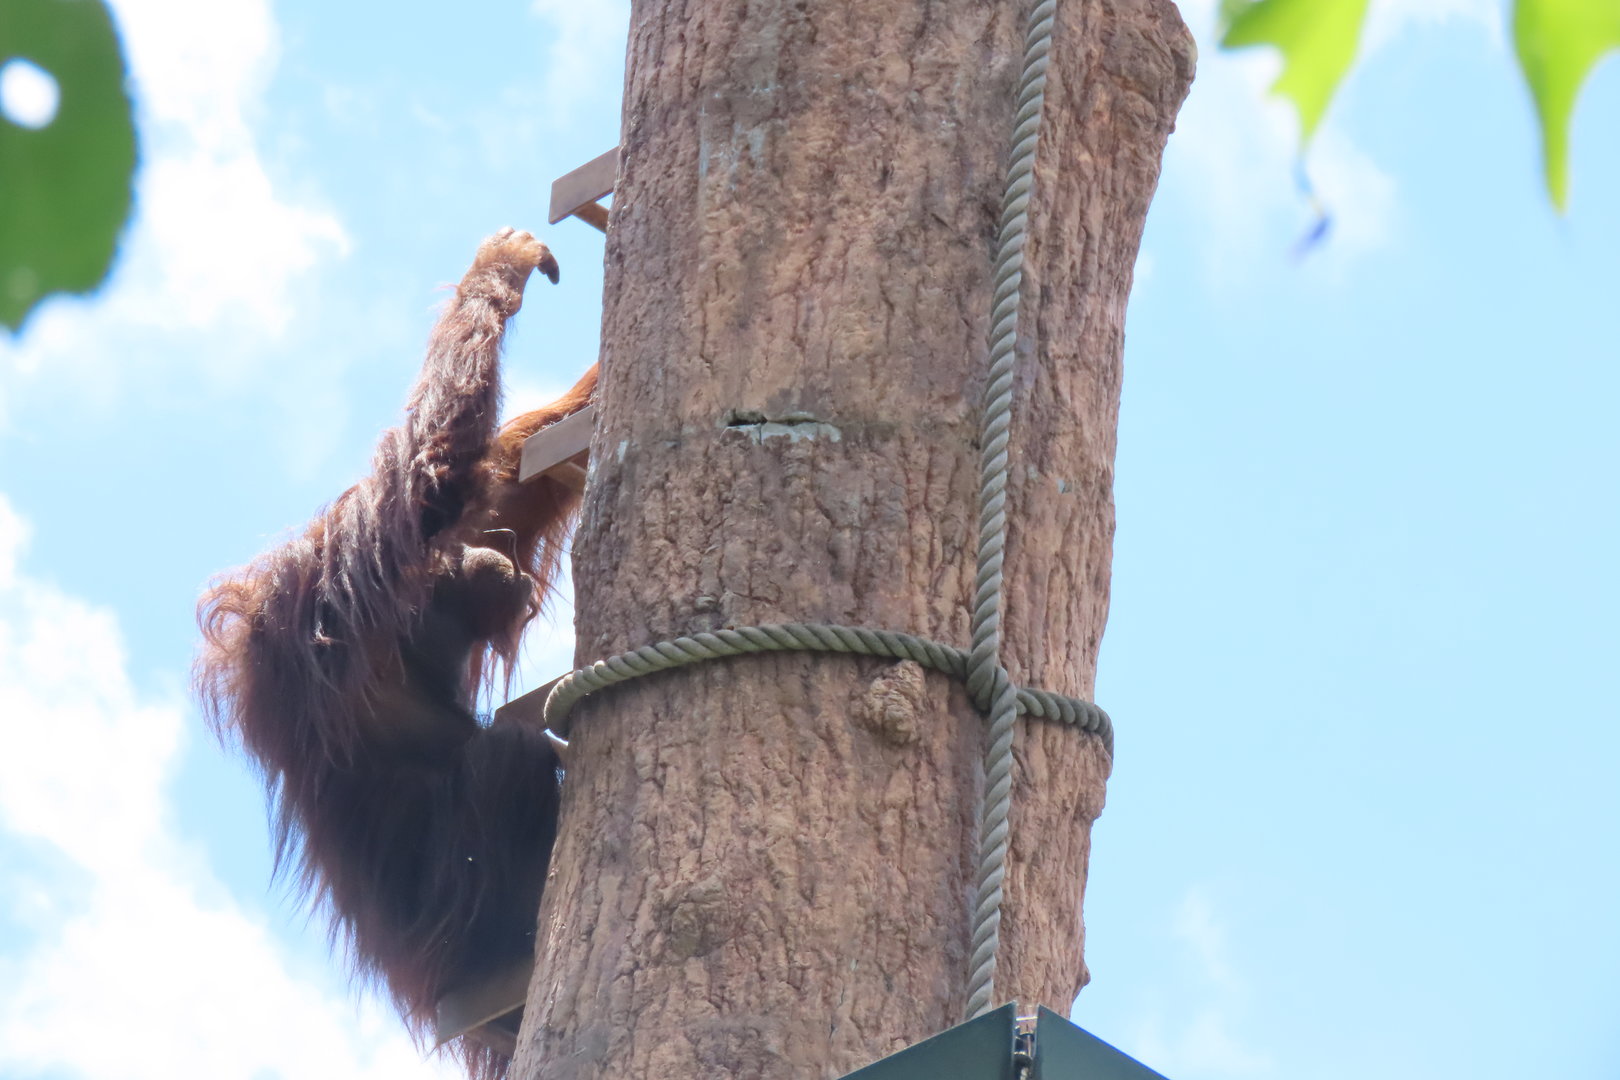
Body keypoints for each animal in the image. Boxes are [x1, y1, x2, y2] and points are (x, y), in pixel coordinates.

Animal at [195, 228, 598, 1079]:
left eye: (486, 547)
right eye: (465, 554)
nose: (490, 555)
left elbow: (505, 476)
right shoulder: (341, 576)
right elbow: (433, 470)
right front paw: (503, 267)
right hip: (455, 946)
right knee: (505, 757)